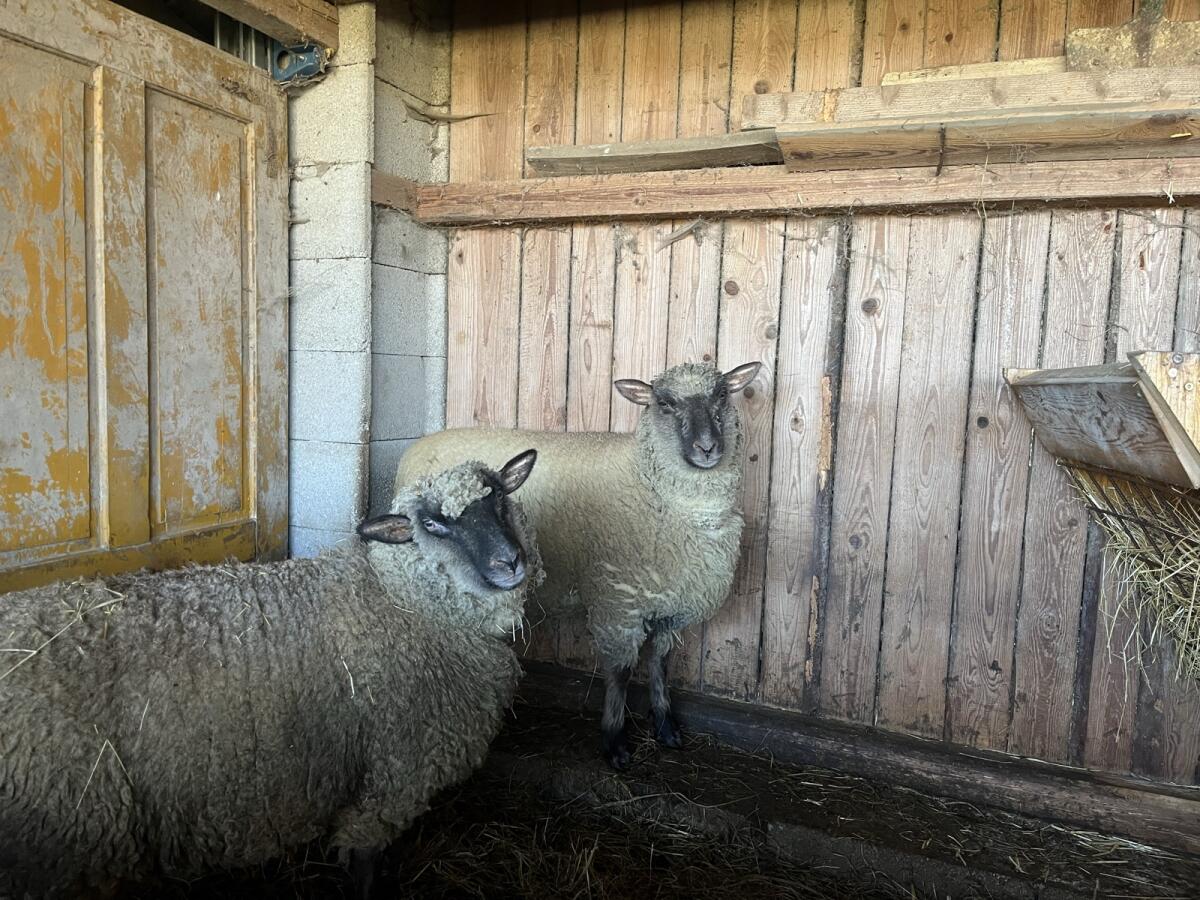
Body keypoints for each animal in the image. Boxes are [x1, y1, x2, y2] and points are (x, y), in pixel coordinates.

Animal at [0, 451, 540, 900]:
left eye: (498, 496)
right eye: (432, 523)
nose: (511, 562)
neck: (398, 596)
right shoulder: (394, 773)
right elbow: (364, 857)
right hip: (70, 828)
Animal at [396, 360, 762, 769]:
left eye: (722, 394)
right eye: (665, 403)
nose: (707, 448)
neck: (651, 485)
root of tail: (422, 442)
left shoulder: (670, 605)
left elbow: (660, 664)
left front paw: (667, 727)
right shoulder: (617, 603)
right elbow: (620, 673)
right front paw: (616, 743)